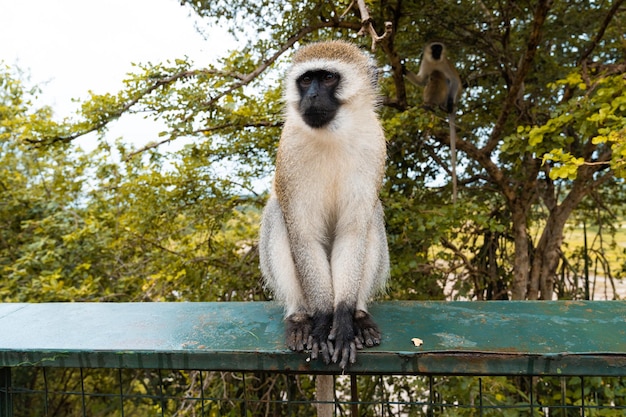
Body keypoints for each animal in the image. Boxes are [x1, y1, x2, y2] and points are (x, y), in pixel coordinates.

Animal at [258, 38, 386, 412]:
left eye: (328, 78)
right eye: (305, 80)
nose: (311, 96)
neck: (333, 133)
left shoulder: (374, 144)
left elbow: (354, 233)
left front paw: (341, 321)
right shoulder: (290, 150)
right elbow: (303, 235)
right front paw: (323, 322)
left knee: (372, 216)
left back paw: (359, 315)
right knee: (278, 212)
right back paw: (302, 317)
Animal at [402, 41, 460, 202]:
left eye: (439, 49)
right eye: (434, 48)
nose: (437, 52)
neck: (435, 62)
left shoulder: (444, 64)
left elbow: (454, 81)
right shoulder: (426, 62)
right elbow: (422, 80)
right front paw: (403, 69)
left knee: (443, 79)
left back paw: (444, 105)